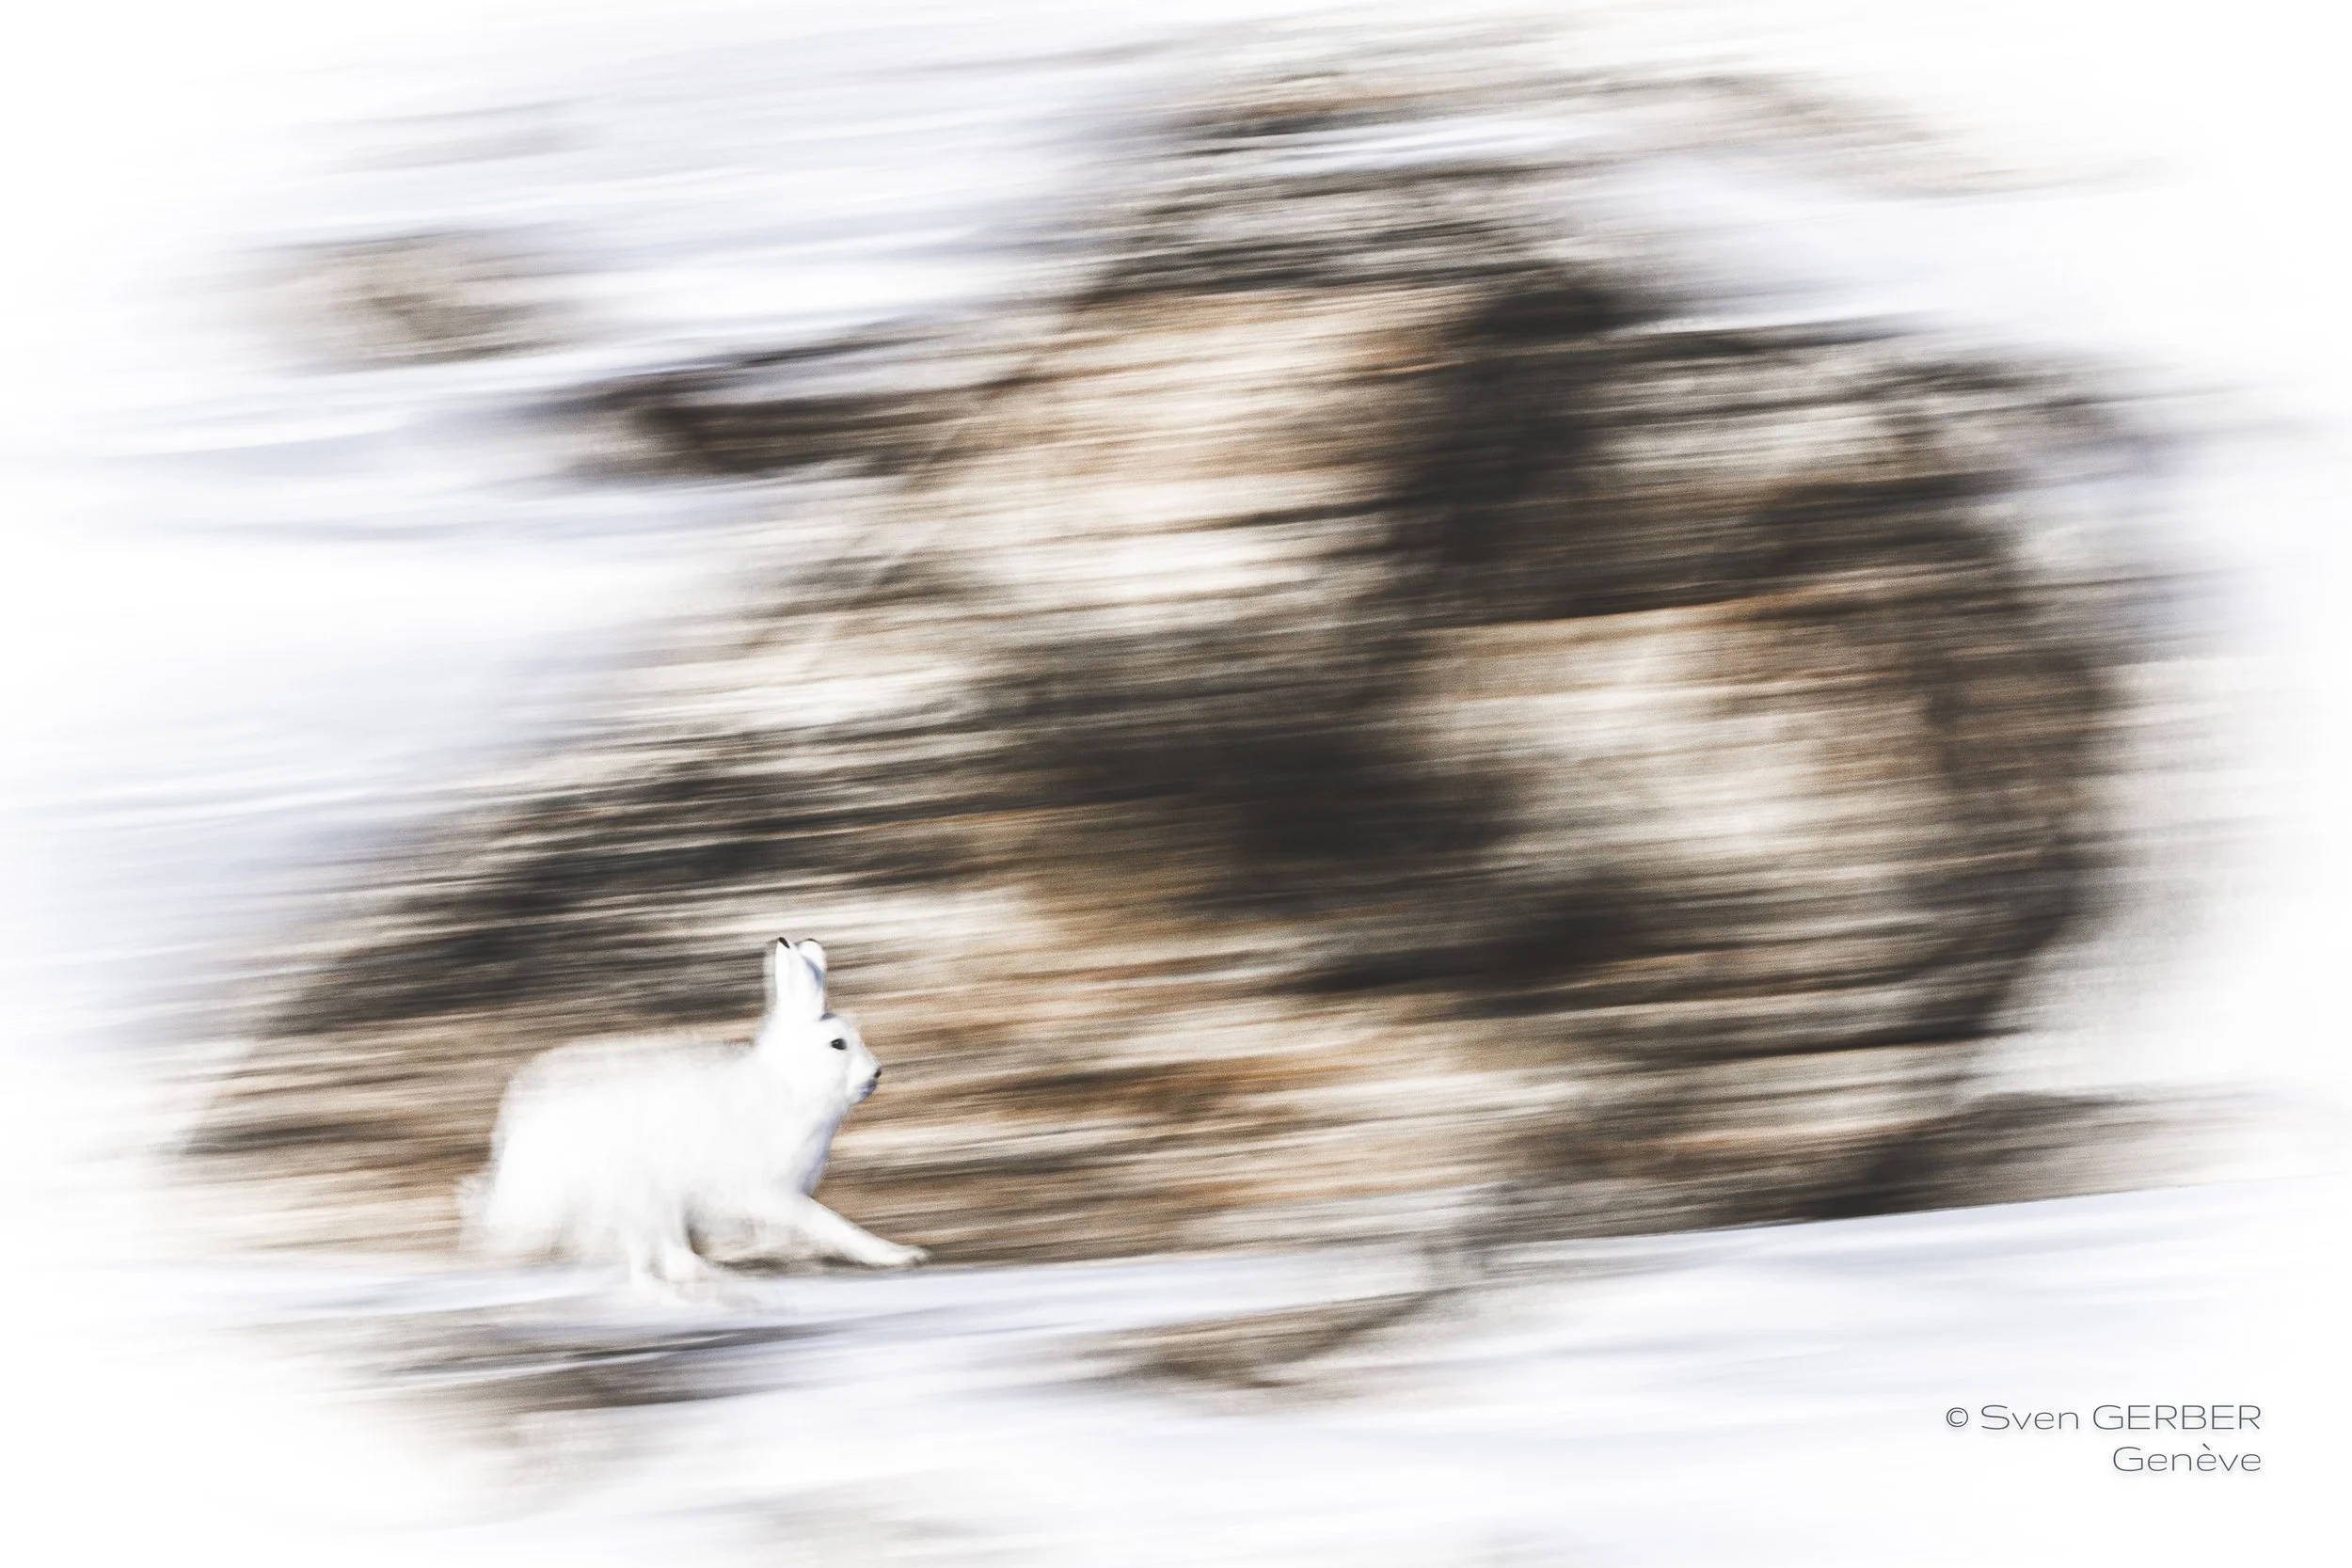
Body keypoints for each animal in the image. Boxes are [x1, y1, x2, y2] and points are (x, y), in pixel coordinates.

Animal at [464, 937, 927, 1286]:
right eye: (837, 1044)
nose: (877, 1073)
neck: (787, 1084)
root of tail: (518, 1131)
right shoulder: (766, 1191)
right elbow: (827, 1222)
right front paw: (896, 1255)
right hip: (641, 1190)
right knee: (664, 1256)